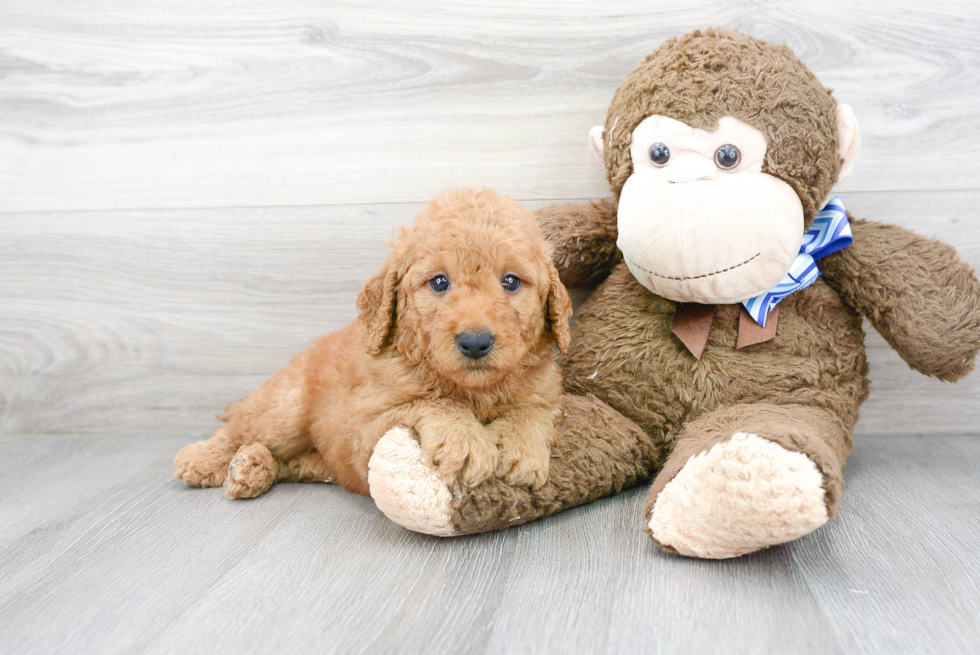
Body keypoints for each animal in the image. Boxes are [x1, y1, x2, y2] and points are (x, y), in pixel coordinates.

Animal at [174, 187, 576, 500]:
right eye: (439, 282)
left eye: (511, 281)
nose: (475, 343)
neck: (475, 391)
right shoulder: (364, 431)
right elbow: (432, 401)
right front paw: (465, 442)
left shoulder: (549, 396)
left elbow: (533, 411)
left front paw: (522, 449)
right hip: (286, 409)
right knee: (240, 427)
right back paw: (205, 459)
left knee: (291, 460)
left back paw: (251, 468)